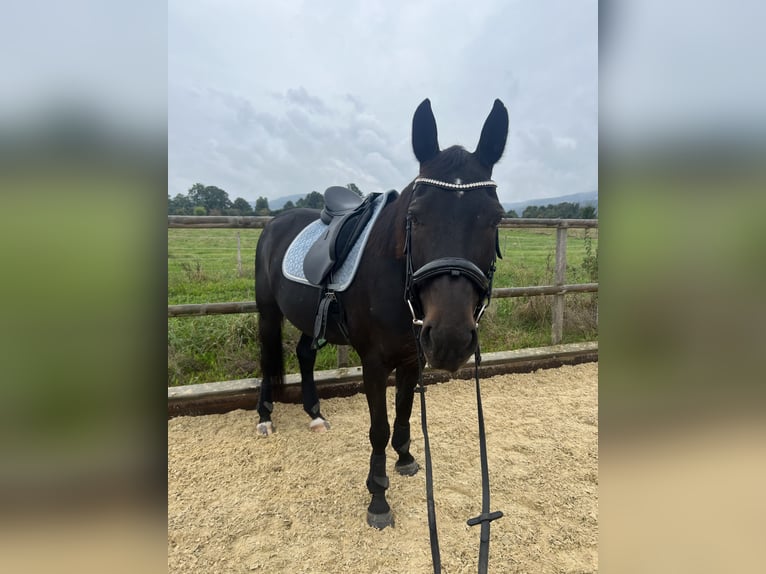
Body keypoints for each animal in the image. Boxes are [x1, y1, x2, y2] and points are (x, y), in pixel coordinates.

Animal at [256, 99, 510, 532]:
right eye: (415, 216)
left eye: (495, 218)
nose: (451, 340)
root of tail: (275, 222)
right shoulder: (374, 363)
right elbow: (379, 427)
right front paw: (378, 497)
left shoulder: (412, 357)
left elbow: (405, 412)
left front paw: (405, 459)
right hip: (267, 312)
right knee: (266, 356)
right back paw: (264, 416)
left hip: (310, 317)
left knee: (305, 354)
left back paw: (315, 413)